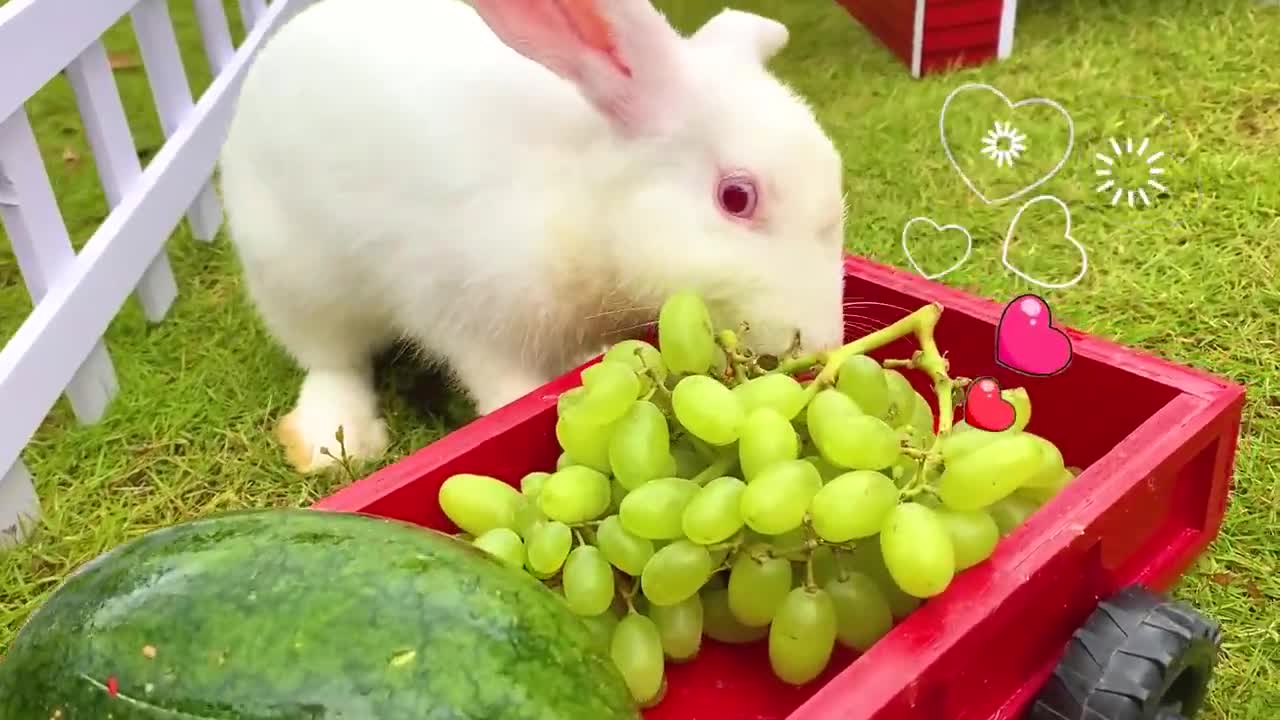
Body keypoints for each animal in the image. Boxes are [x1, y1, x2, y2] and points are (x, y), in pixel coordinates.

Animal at [220, 0, 849, 471]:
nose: (821, 342)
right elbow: (506, 389)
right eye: (736, 197)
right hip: (296, 280)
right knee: (332, 360)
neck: (582, 200)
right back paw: (334, 440)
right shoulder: (468, 316)